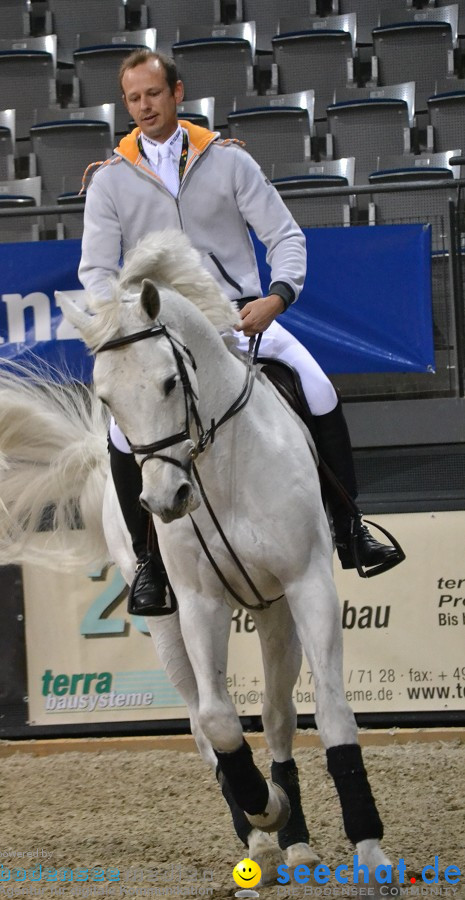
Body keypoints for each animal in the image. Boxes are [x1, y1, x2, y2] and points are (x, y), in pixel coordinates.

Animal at [0, 232, 396, 892]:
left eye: (168, 382)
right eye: (107, 397)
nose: (165, 501)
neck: (219, 466)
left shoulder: (307, 583)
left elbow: (332, 712)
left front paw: (367, 845)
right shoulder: (199, 603)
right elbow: (217, 720)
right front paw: (263, 809)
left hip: (274, 610)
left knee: (279, 715)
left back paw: (296, 843)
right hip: (165, 622)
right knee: (199, 720)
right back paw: (260, 838)